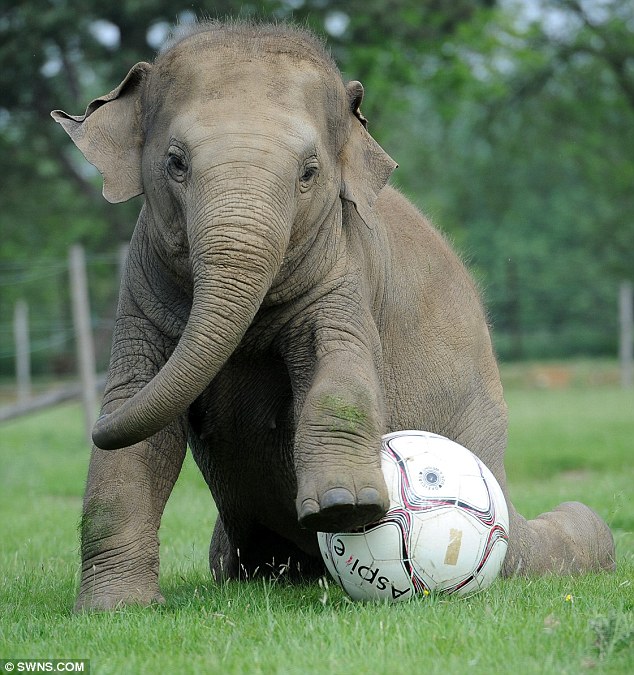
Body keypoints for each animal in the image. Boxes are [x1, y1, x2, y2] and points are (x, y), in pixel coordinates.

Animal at [50, 21, 612, 612]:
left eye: (309, 172)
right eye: (175, 163)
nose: (94, 429)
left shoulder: (347, 268)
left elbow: (339, 372)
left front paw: (347, 507)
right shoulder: (141, 285)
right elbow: (138, 422)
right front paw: (114, 610)